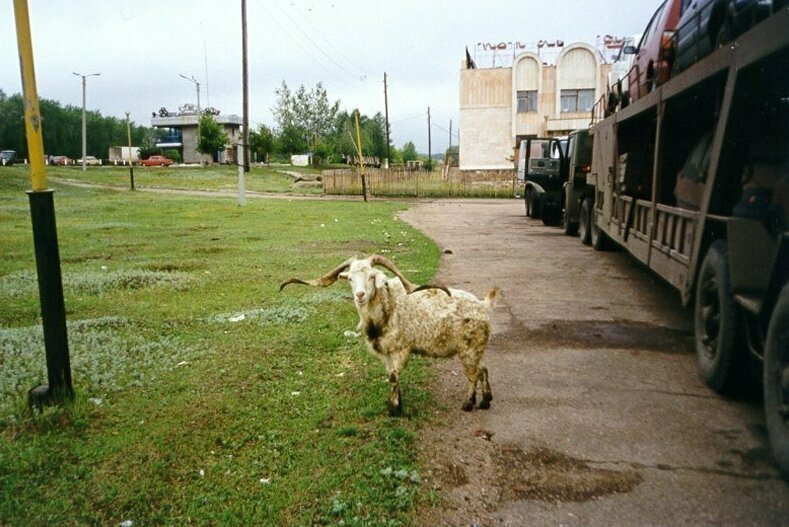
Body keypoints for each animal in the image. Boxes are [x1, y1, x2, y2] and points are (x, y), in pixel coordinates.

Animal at [280, 256, 496, 416]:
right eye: (350, 278)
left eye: (371, 277)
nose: (360, 295)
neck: (388, 307)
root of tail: (484, 306)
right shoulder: (385, 353)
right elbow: (391, 375)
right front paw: (397, 402)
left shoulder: (401, 350)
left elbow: (393, 376)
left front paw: (395, 409)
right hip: (476, 348)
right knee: (483, 368)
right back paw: (485, 401)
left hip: (469, 348)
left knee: (473, 374)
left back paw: (468, 404)